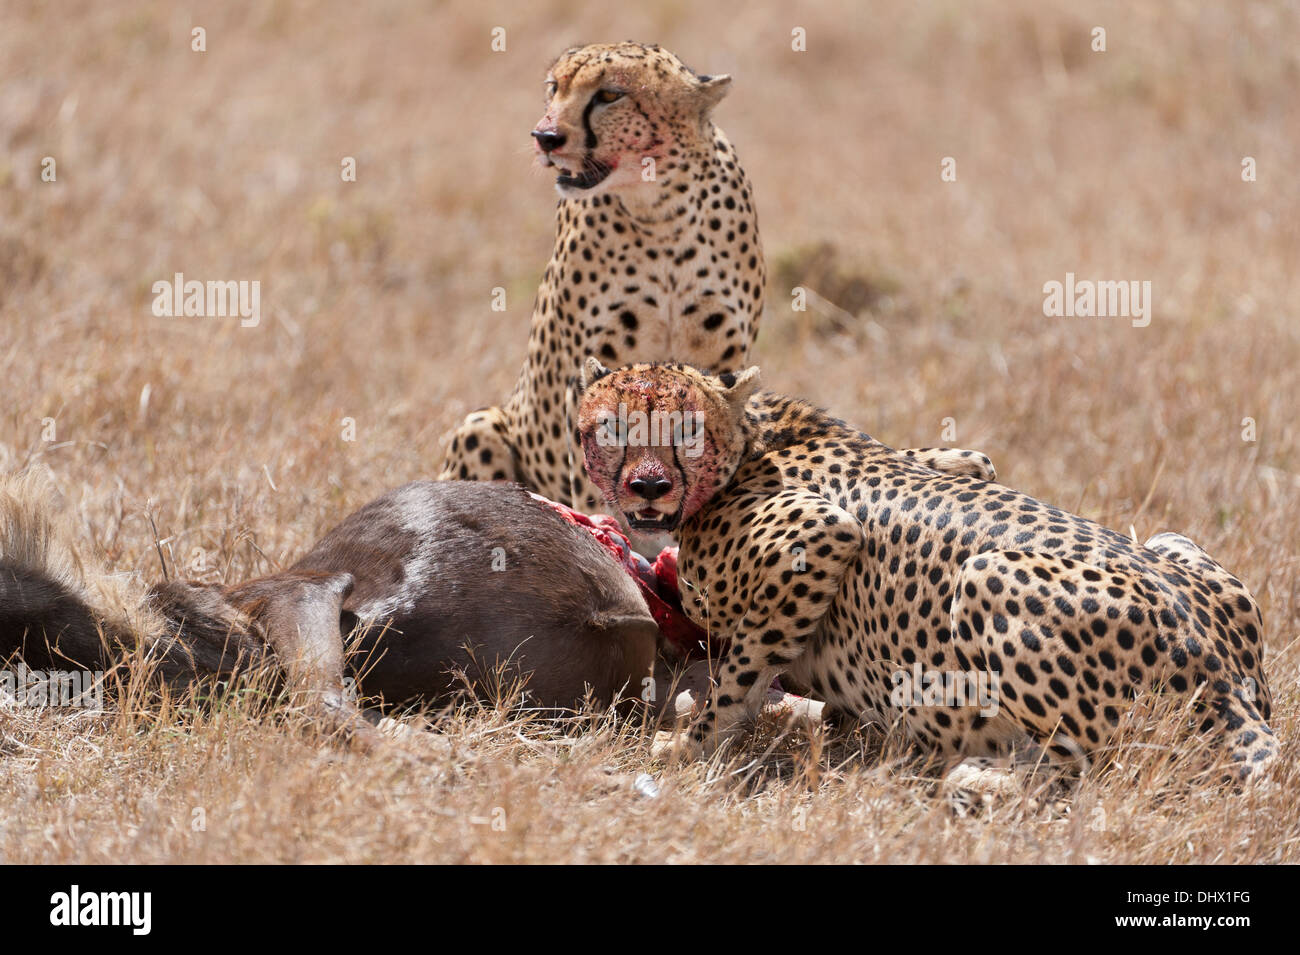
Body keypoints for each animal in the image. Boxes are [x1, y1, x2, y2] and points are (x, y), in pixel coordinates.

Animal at [436, 43, 993, 509]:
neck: (659, 209)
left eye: (609, 95)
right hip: (480, 424)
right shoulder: (597, 371)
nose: (546, 137)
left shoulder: (721, 364)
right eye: (554, 88)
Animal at [579, 361, 1279, 779]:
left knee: (1086, 772)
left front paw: (689, 748)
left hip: (987, 578)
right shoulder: (967, 460)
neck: (754, 437)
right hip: (1174, 542)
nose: (649, 486)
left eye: (687, 432)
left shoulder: (820, 534)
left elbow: (737, 679)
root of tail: (1221, 671)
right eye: (611, 428)